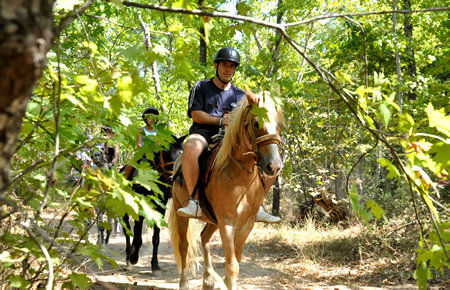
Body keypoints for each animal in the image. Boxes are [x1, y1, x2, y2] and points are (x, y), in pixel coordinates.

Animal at [120, 135, 185, 274]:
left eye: (181, 153)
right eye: (166, 152)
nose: (172, 179)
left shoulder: (160, 209)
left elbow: (155, 238)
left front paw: (155, 265)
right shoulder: (140, 207)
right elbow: (137, 236)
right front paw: (134, 258)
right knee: (127, 230)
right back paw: (128, 257)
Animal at [167, 90, 284, 288]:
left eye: (279, 125)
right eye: (256, 123)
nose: (274, 166)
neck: (241, 177)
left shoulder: (245, 225)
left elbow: (235, 262)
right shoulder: (227, 222)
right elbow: (232, 267)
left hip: (213, 220)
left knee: (204, 237)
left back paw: (208, 279)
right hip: (180, 210)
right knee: (184, 246)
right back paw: (184, 283)